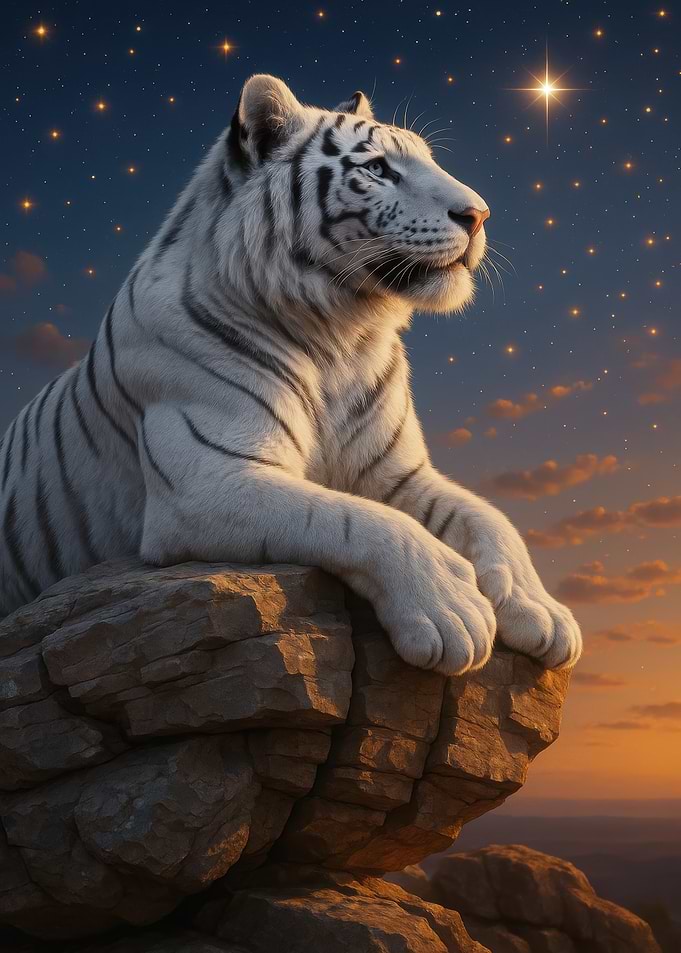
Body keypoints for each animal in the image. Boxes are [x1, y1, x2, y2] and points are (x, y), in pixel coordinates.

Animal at [0, 74, 581, 674]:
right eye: (377, 168)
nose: (480, 215)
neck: (341, 336)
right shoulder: (207, 480)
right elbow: (357, 520)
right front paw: (449, 608)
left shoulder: (399, 474)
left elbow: (488, 517)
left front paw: (542, 612)